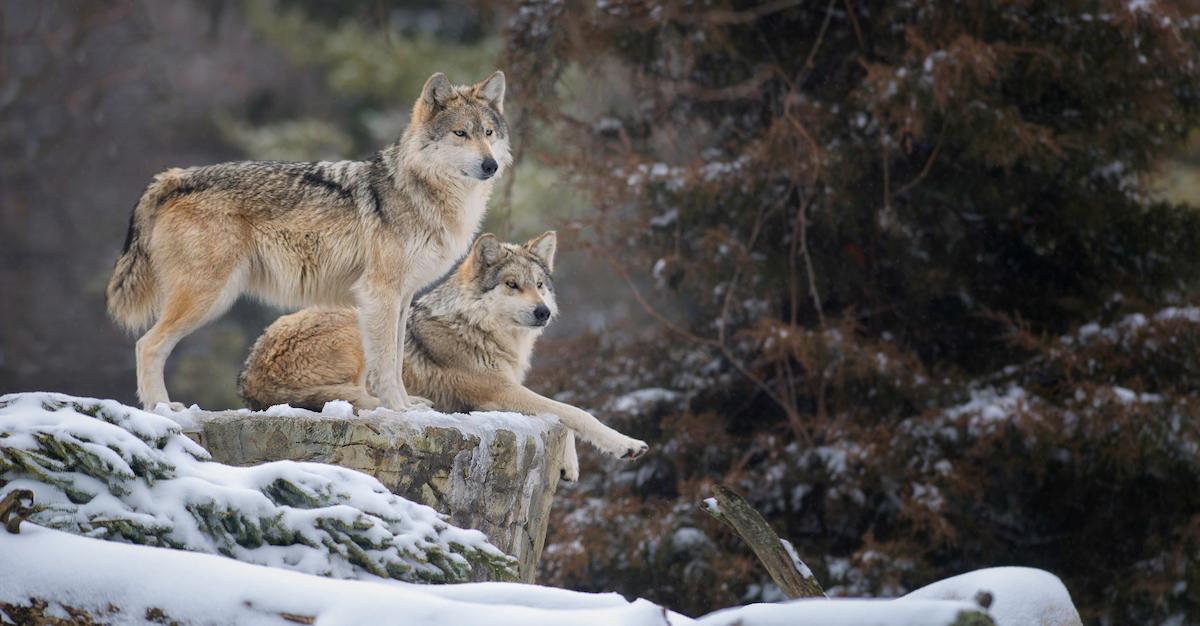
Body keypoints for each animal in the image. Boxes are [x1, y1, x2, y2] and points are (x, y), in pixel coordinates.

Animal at [104, 71, 511, 410]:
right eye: (461, 133)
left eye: (488, 133)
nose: (491, 166)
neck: (423, 193)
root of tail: (174, 177)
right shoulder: (380, 293)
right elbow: (385, 365)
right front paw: (398, 410)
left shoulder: (402, 297)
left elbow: (396, 361)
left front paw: (407, 405)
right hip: (209, 297)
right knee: (146, 345)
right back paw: (160, 408)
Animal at [234, 231, 648, 474]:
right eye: (512, 285)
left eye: (540, 285)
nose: (543, 312)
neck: (478, 328)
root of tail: (250, 377)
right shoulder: (497, 391)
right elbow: (573, 411)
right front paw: (626, 444)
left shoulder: (506, 390)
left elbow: (560, 413)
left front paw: (569, 464)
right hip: (361, 324)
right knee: (366, 399)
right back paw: (415, 404)